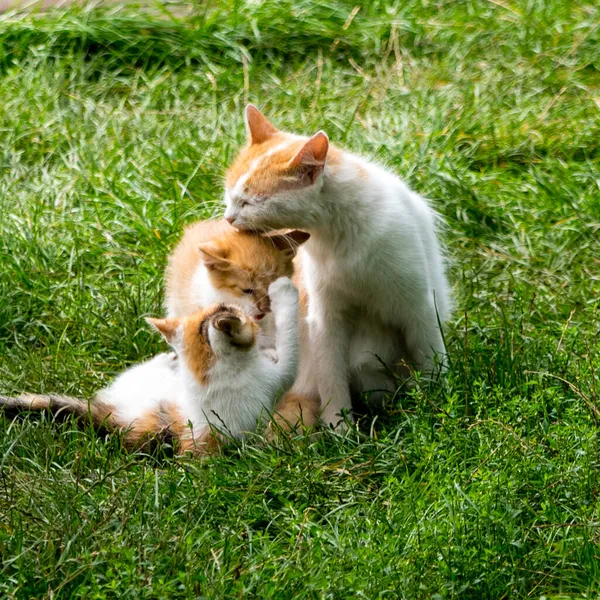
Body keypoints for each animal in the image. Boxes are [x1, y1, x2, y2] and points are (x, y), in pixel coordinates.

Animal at [0, 278, 300, 452]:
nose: (245, 310)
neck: (207, 375)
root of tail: (112, 419)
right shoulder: (275, 378)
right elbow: (289, 338)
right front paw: (284, 290)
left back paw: (168, 360)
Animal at [223, 105, 452, 428]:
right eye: (229, 195)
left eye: (248, 202)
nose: (228, 217)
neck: (337, 235)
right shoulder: (324, 320)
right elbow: (331, 377)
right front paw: (339, 427)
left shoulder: (419, 308)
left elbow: (432, 357)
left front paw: (439, 406)